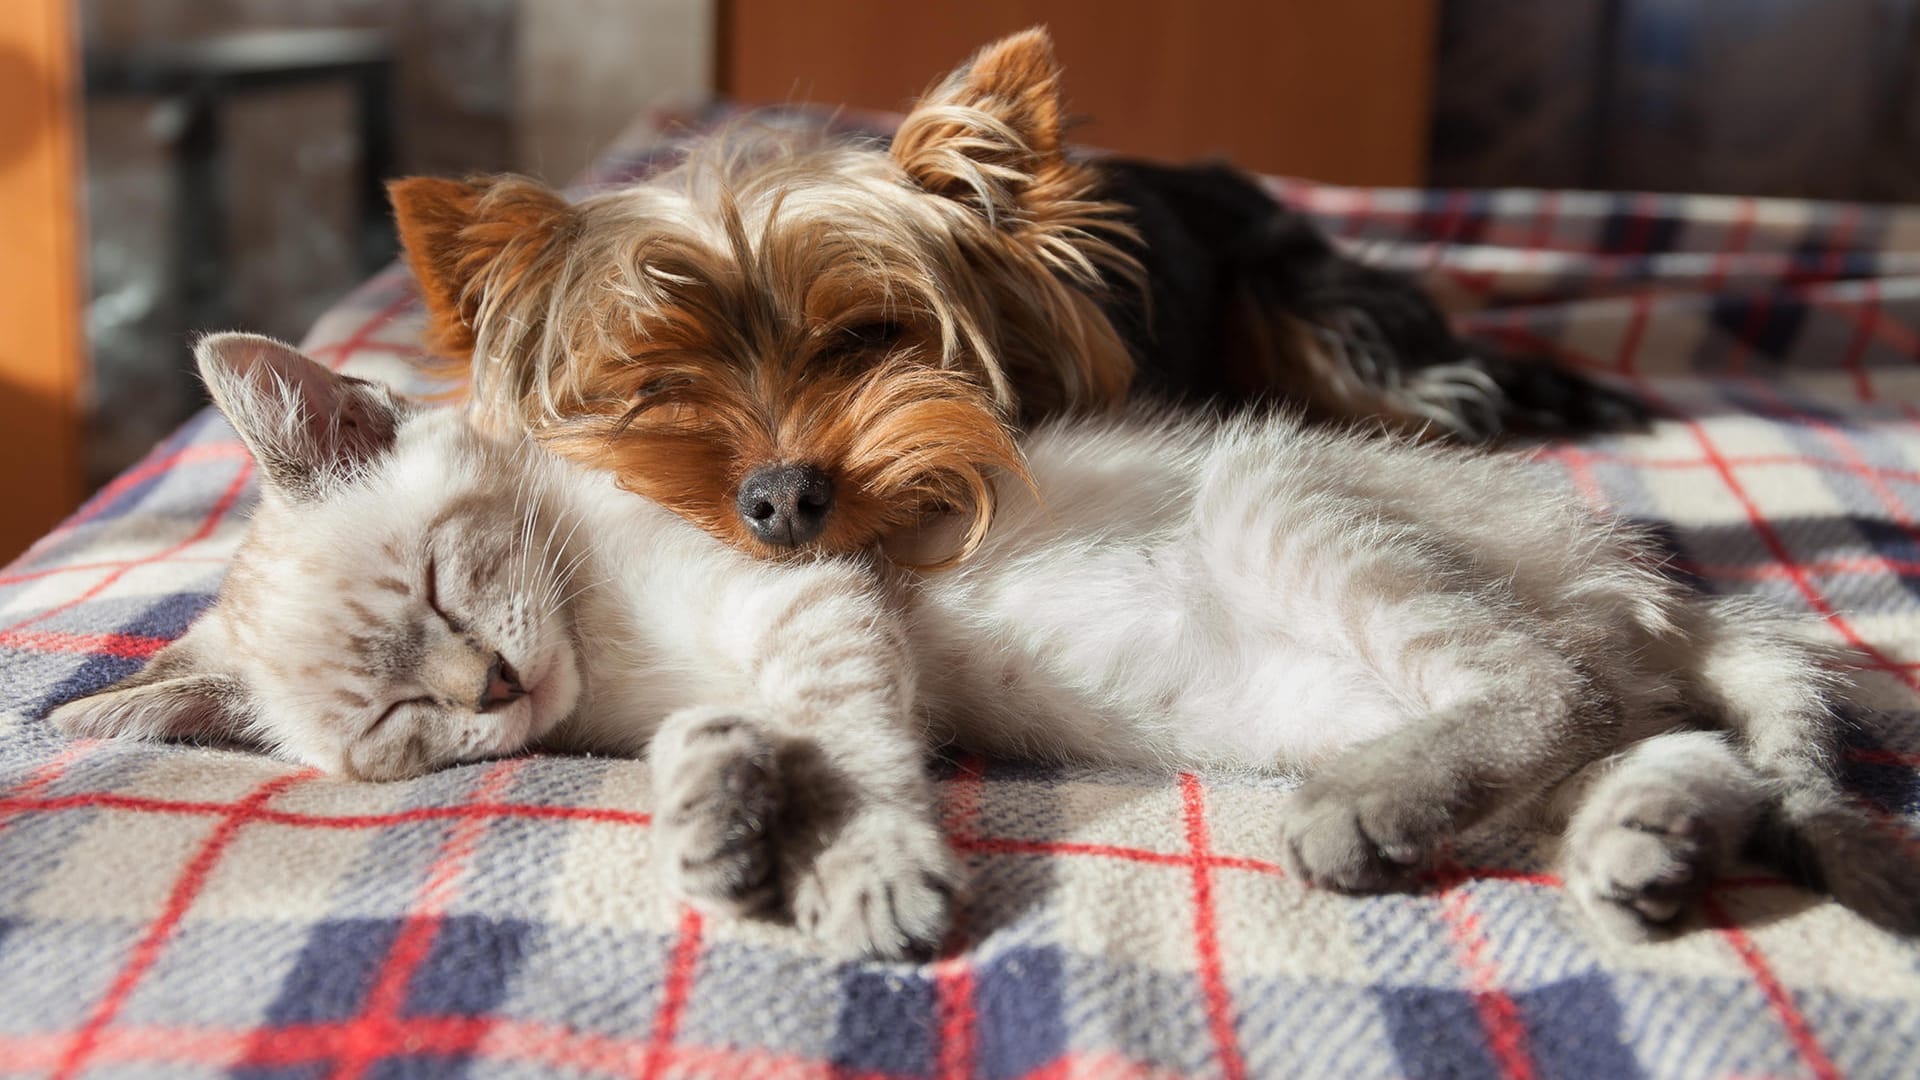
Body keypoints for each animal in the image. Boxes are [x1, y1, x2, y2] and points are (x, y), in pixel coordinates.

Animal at [48, 332, 1920, 953]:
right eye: (395, 734)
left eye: (443, 584)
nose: (493, 689)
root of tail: (1645, 568)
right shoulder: (710, 677)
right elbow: (716, 744)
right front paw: (723, 825)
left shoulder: (814, 592)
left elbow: (863, 750)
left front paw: (867, 874)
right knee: (1666, 740)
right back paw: (1640, 856)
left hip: (1291, 514)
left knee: (1555, 683)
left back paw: (1377, 822)